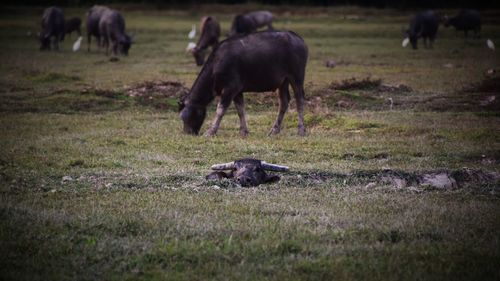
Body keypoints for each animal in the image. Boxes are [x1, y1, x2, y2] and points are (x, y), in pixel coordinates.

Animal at [178, 30, 306, 136]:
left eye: (185, 117)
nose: (188, 132)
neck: (216, 64)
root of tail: (298, 39)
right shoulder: (237, 91)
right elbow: (240, 110)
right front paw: (243, 131)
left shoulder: (230, 88)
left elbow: (220, 110)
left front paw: (211, 131)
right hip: (283, 82)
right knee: (284, 102)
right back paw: (274, 130)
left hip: (297, 78)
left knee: (300, 101)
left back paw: (301, 130)